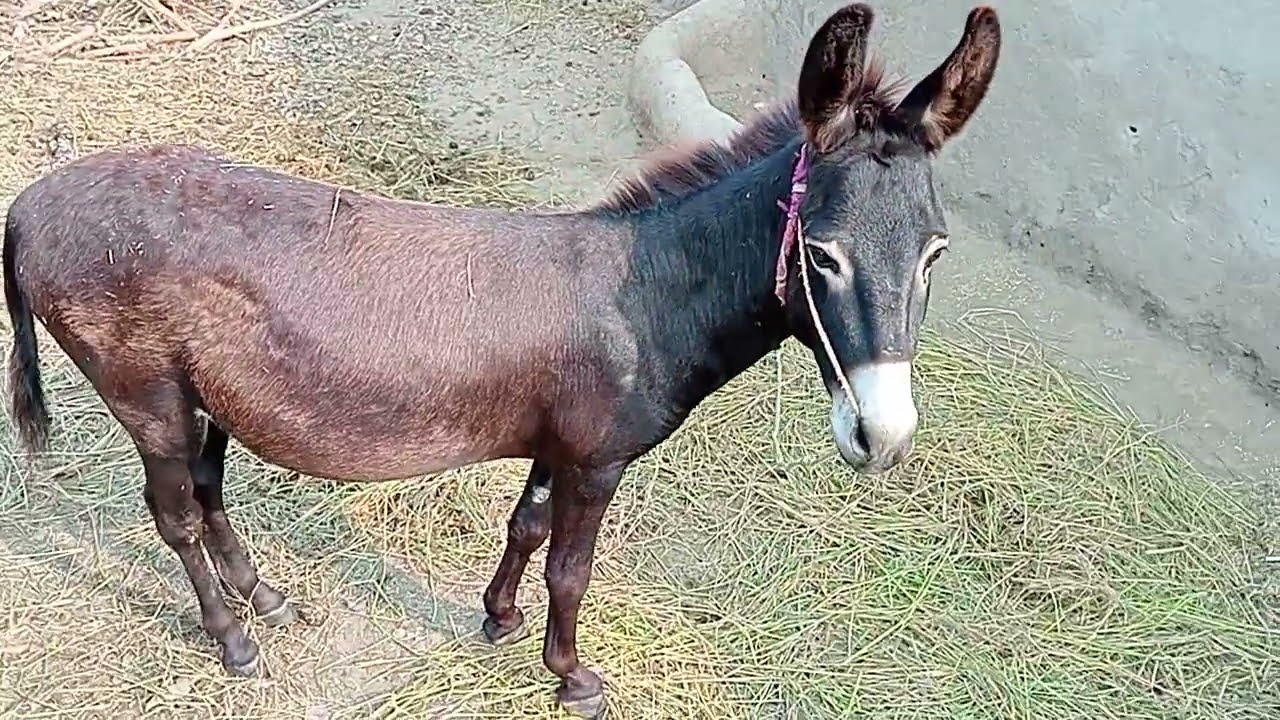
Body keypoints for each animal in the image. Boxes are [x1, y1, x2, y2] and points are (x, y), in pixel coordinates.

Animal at [2, 4, 1000, 717]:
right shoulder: (597, 460)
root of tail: (27, 206)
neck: (647, 290)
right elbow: (572, 568)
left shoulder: (556, 445)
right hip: (147, 394)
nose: (884, 436)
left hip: (205, 395)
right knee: (173, 515)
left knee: (208, 494)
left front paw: (499, 619)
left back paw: (268, 600)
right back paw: (233, 640)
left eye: (935, 252)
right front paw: (572, 676)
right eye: (822, 256)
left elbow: (524, 527)